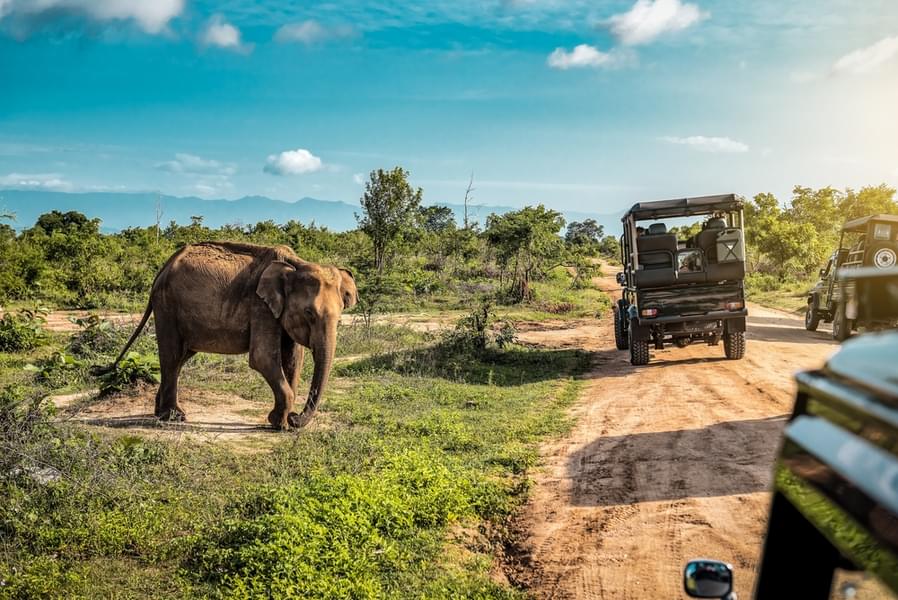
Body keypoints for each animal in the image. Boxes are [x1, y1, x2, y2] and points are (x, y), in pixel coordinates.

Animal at [104, 241, 356, 428]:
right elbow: (263, 358)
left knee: (181, 358)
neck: (296, 264)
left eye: (340, 317)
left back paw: (162, 413)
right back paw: (173, 417)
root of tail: (161, 270)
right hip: (167, 306)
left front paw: (283, 422)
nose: (296, 419)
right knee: (172, 356)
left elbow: (294, 360)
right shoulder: (260, 305)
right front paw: (279, 423)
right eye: (309, 313)